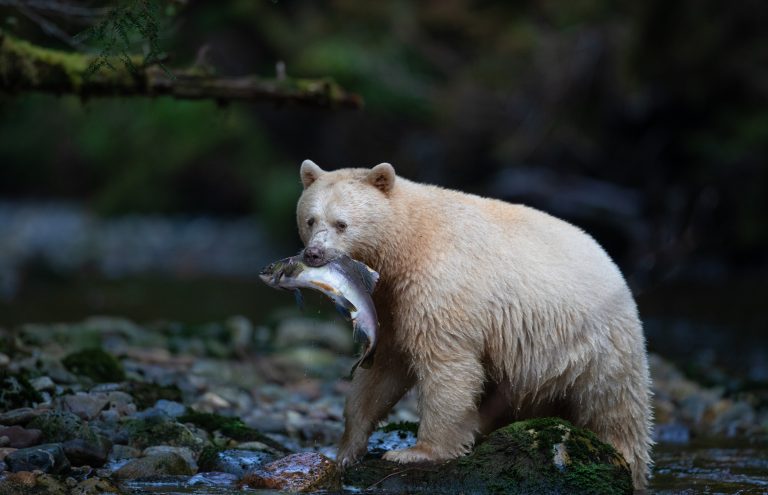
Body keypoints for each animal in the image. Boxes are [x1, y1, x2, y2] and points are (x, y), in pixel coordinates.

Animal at [296, 159, 653, 490]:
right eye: (310, 219)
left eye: (341, 223)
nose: (314, 253)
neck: (407, 242)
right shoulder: (392, 305)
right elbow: (380, 372)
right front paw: (345, 451)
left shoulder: (440, 284)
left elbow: (448, 366)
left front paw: (416, 452)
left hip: (595, 345)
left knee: (613, 406)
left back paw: (626, 459)